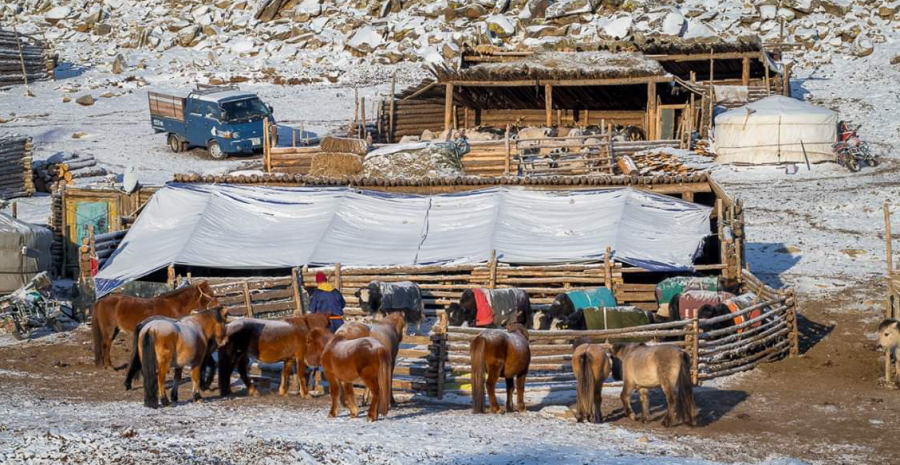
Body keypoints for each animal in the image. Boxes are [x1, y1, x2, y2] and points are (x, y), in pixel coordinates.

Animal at [91, 280, 220, 368]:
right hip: (109, 329)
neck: (174, 306)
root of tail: (100, 301)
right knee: (106, 344)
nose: (219, 306)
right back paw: (109, 365)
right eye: (210, 294)